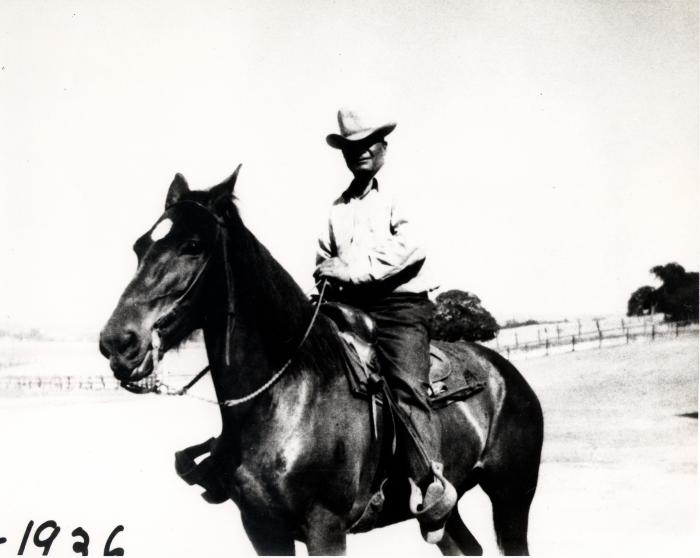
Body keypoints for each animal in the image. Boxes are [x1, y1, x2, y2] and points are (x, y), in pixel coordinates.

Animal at [98, 168, 544, 556]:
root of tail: (505, 373)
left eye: (193, 246)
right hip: (446, 516)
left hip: (512, 496)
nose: (117, 342)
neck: (288, 395)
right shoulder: (262, 529)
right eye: (140, 246)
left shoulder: (325, 528)